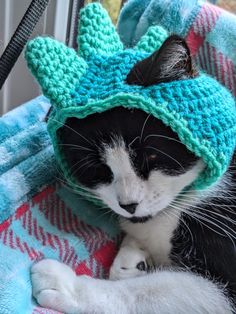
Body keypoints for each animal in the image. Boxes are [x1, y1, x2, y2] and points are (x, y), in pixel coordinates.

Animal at [31, 35, 236, 312]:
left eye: (152, 156)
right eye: (96, 168)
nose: (129, 205)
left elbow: (152, 291)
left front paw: (65, 284)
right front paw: (132, 260)